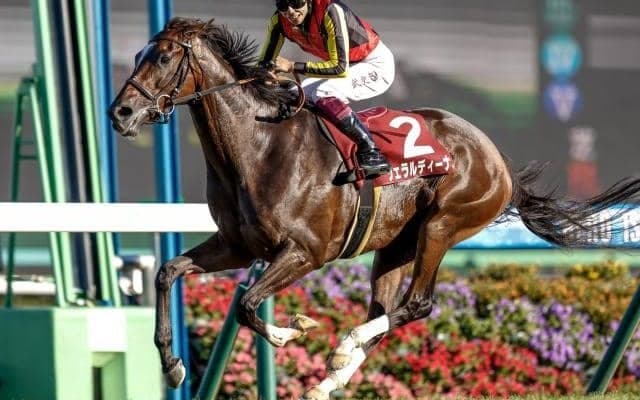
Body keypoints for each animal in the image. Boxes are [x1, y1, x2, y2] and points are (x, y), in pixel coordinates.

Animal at [108, 18, 640, 400]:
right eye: (137, 54)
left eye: (164, 56)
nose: (120, 113)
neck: (260, 147)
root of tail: (496, 158)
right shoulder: (237, 246)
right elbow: (168, 273)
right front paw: (172, 365)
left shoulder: (304, 252)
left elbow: (246, 303)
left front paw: (290, 333)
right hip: (393, 246)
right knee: (385, 312)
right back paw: (331, 376)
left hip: (442, 225)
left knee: (417, 303)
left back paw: (342, 348)